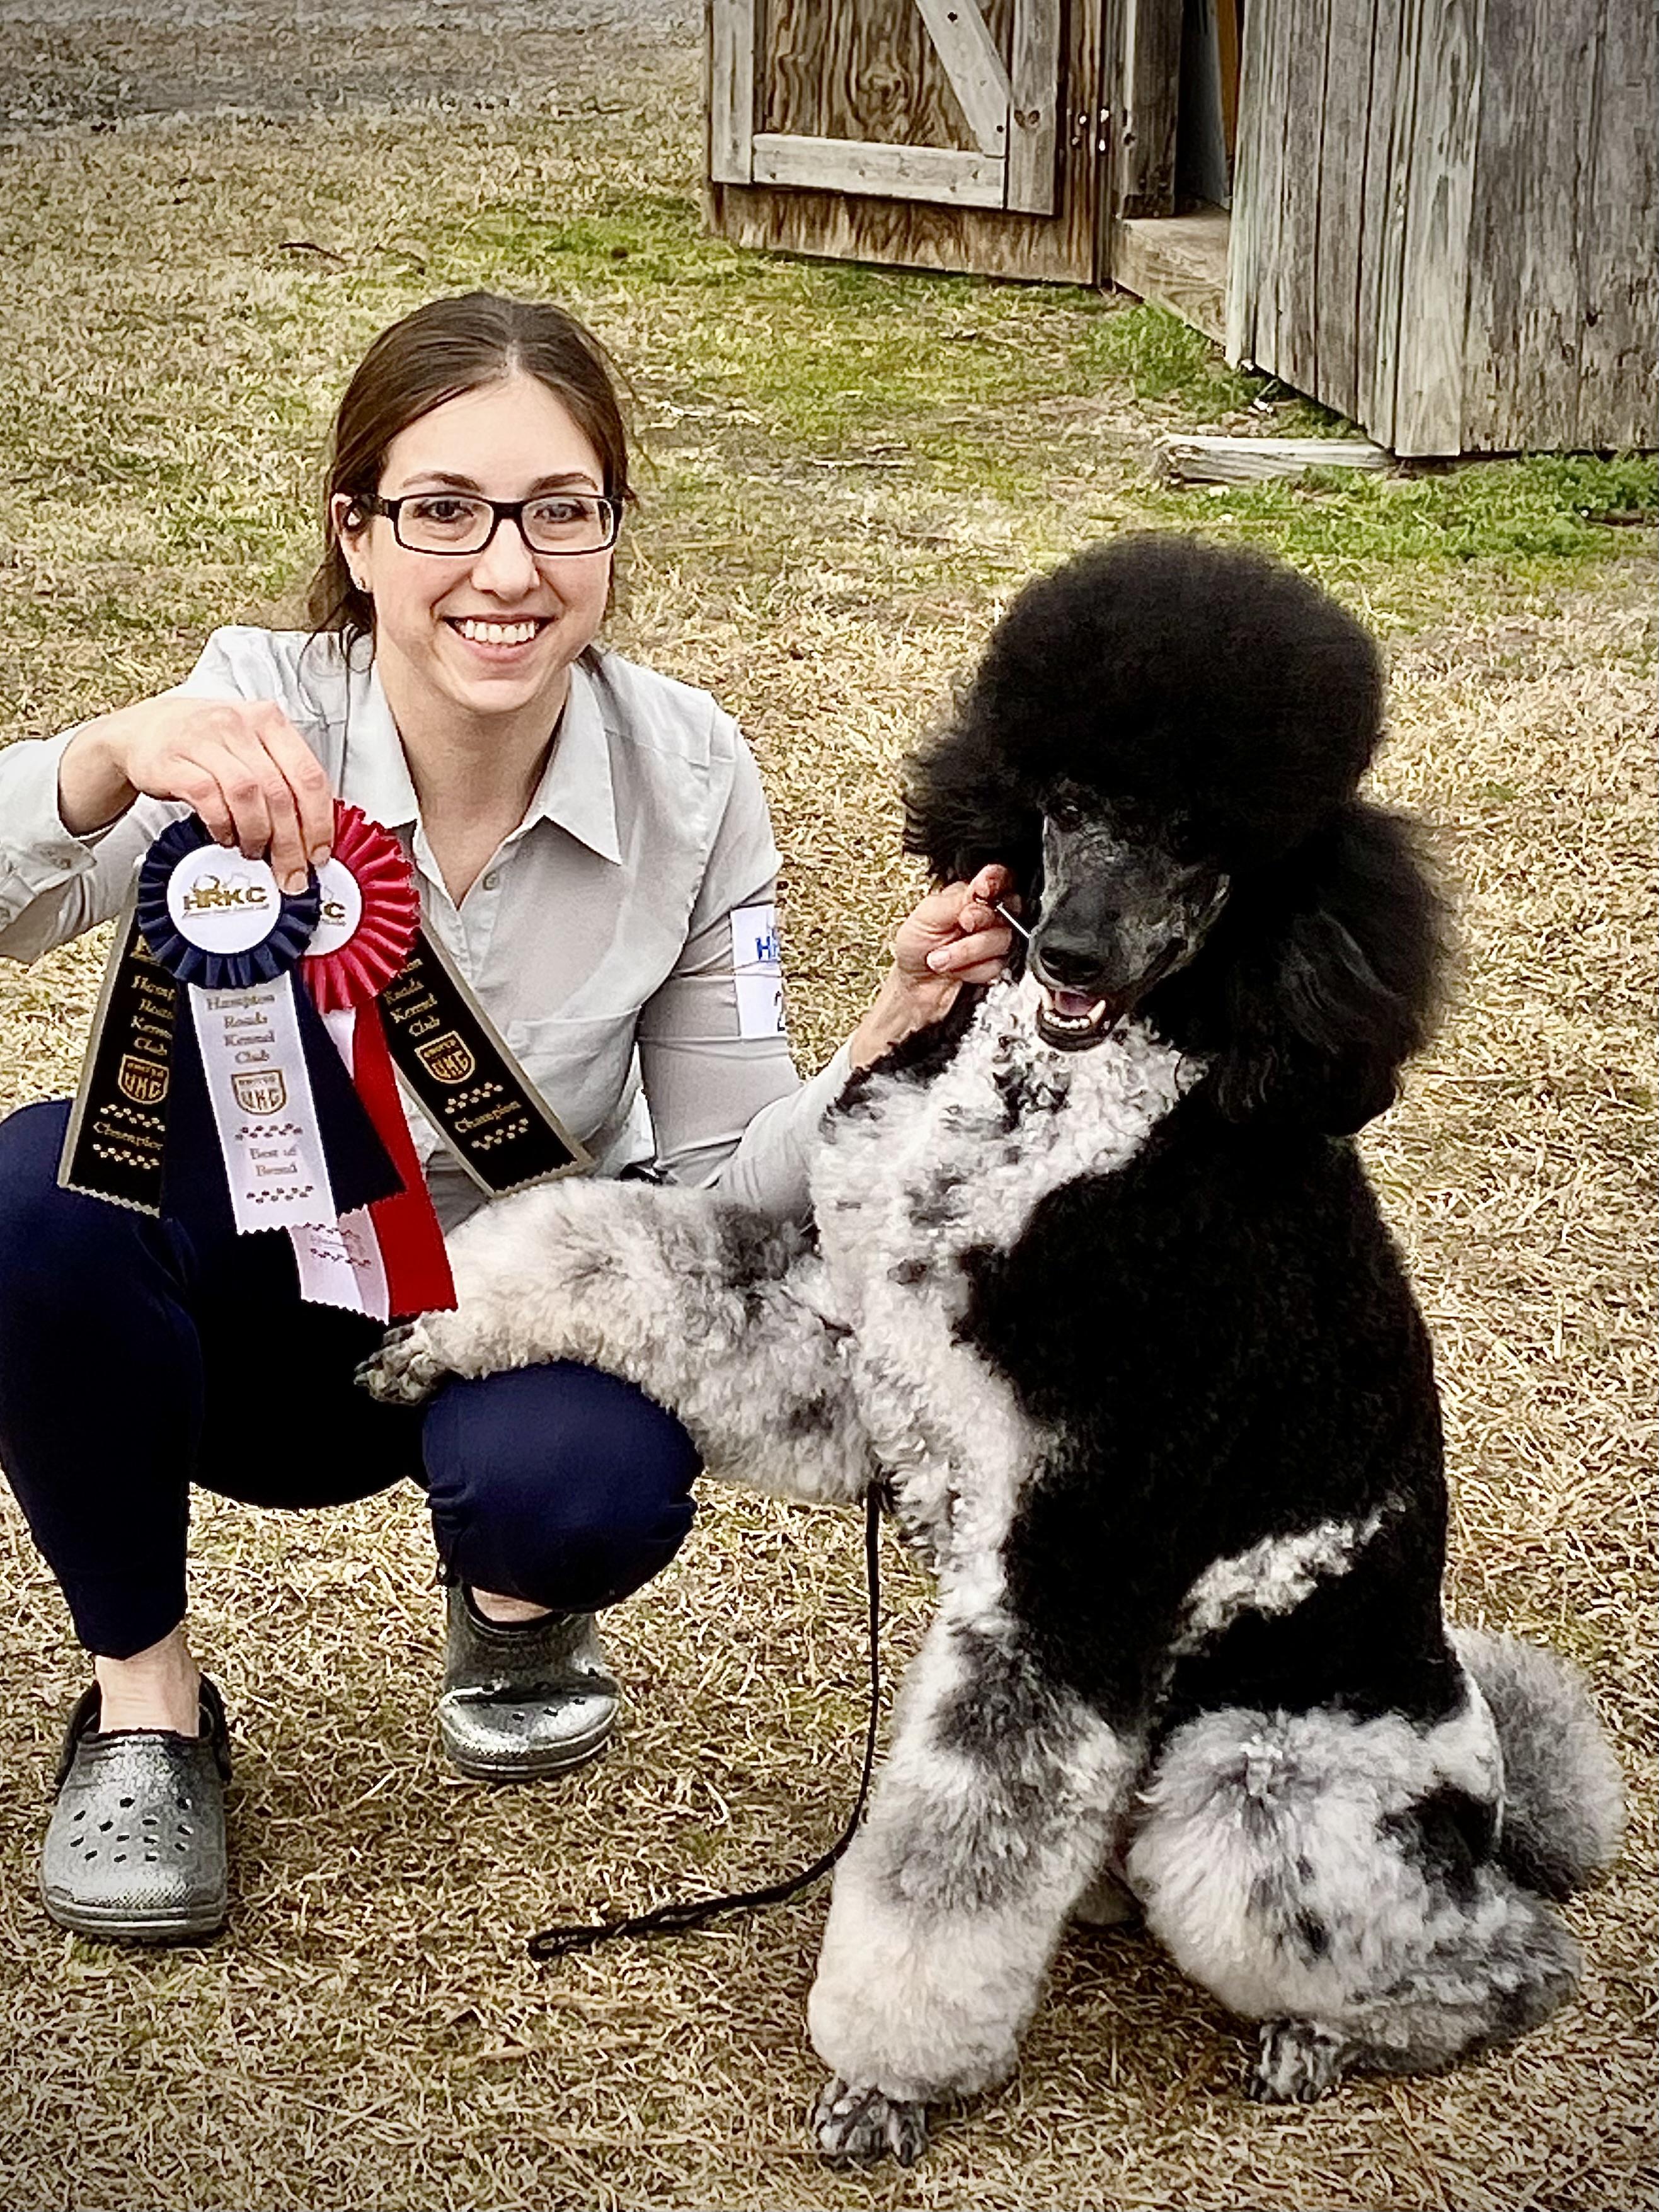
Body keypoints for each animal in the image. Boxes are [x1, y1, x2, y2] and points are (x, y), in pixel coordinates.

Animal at [363, 537, 1623, 2166]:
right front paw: (436, 1327)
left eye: (1204, 839)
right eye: (1069, 796)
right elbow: (617, 1254)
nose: (1068, 947)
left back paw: (1323, 2035)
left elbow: (949, 1854)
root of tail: (1487, 1791)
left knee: (1506, 1952)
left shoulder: (1074, 1560)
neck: (1061, 1117)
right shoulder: (856, 1352)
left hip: (1257, 1779)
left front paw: (886, 2076)